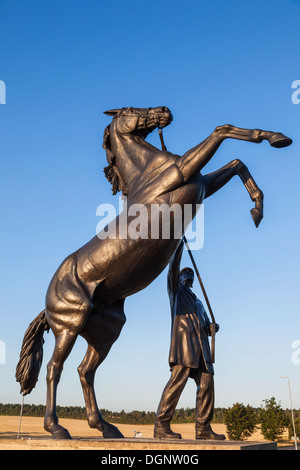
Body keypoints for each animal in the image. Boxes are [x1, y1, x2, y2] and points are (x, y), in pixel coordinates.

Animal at [15, 104, 292, 438]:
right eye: (129, 109)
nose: (164, 110)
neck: (149, 169)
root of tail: (48, 300)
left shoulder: (201, 183)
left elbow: (237, 163)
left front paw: (257, 208)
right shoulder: (183, 172)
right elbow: (222, 130)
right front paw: (277, 139)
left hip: (105, 332)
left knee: (85, 371)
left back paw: (105, 427)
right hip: (69, 325)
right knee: (54, 369)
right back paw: (57, 428)